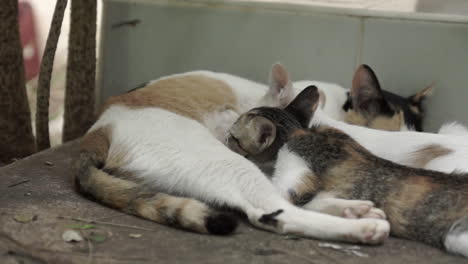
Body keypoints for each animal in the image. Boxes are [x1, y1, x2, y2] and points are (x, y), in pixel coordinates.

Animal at [227, 85, 468, 256]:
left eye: (232, 137)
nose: (224, 137)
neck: (297, 132)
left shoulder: (294, 169)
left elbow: (292, 200)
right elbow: (316, 202)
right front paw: (358, 210)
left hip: (454, 236)